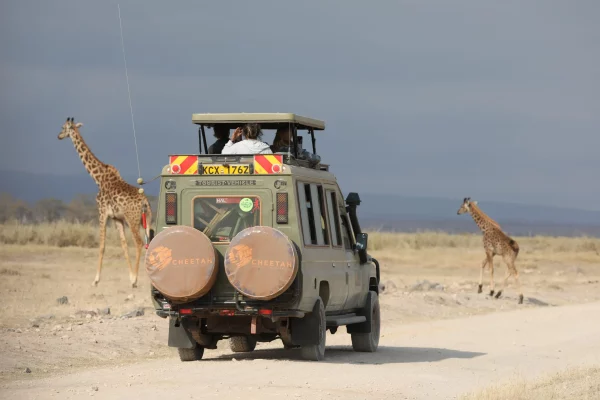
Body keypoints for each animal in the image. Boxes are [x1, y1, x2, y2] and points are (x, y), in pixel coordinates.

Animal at [58, 116, 152, 288]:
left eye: (63, 127)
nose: (58, 136)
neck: (98, 177)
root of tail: (145, 202)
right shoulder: (117, 218)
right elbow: (123, 246)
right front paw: (130, 277)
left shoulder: (102, 212)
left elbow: (102, 246)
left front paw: (96, 280)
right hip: (147, 220)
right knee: (150, 242)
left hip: (133, 220)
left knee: (139, 243)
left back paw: (137, 281)